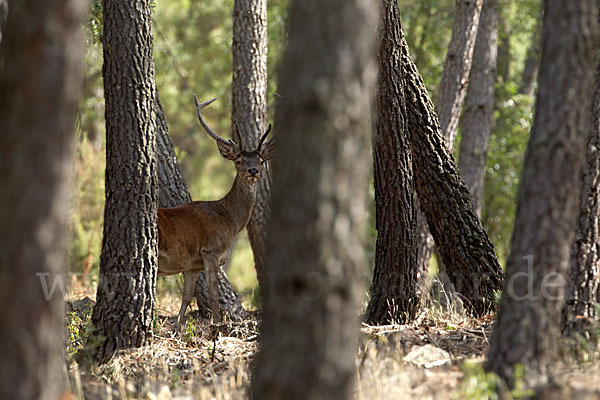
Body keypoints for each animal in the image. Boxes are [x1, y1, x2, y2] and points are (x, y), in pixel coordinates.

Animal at [157, 95, 274, 330]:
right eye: (239, 161)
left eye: (261, 160)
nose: (253, 170)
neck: (230, 221)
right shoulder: (210, 250)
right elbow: (213, 294)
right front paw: (217, 325)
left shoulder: (192, 265)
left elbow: (186, 297)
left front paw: (177, 328)